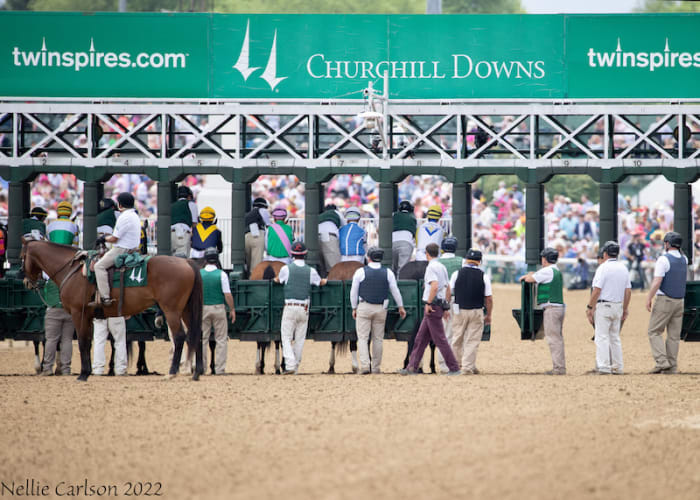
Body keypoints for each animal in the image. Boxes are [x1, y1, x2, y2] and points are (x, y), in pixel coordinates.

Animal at [21, 240, 202, 380]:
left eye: (22, 257)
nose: (27, 282)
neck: (71, 270)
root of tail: (186, 262)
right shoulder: (88, 316)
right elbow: (88, 342)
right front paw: (87, 372)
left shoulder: (78, 313)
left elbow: (82, 342)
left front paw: (83, 374)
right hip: (186, 310)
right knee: (196, 334)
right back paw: (197, 373)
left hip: (172, 310)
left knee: (180, 337)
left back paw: (172, 372)